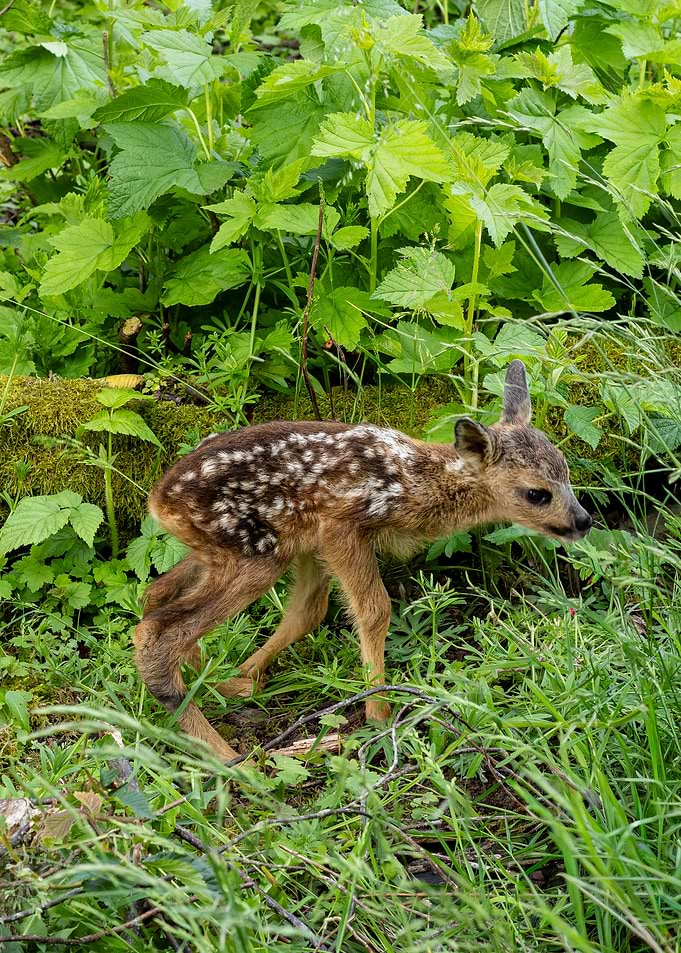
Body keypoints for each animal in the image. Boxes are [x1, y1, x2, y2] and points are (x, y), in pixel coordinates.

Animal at [133, 360, 592, 761]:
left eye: (567, 472)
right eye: (536, 493)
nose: (583, 521)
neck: (417, 485)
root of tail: (159, 500)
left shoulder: (311, 541)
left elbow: (307, 611)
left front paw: (247, 674)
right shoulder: (342, 526)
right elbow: (374, 610)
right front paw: (379, 713)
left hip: (222, 551)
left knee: (155, 592)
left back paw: (217, 684)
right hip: (254, 555)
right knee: (156, 633)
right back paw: (233, 758)